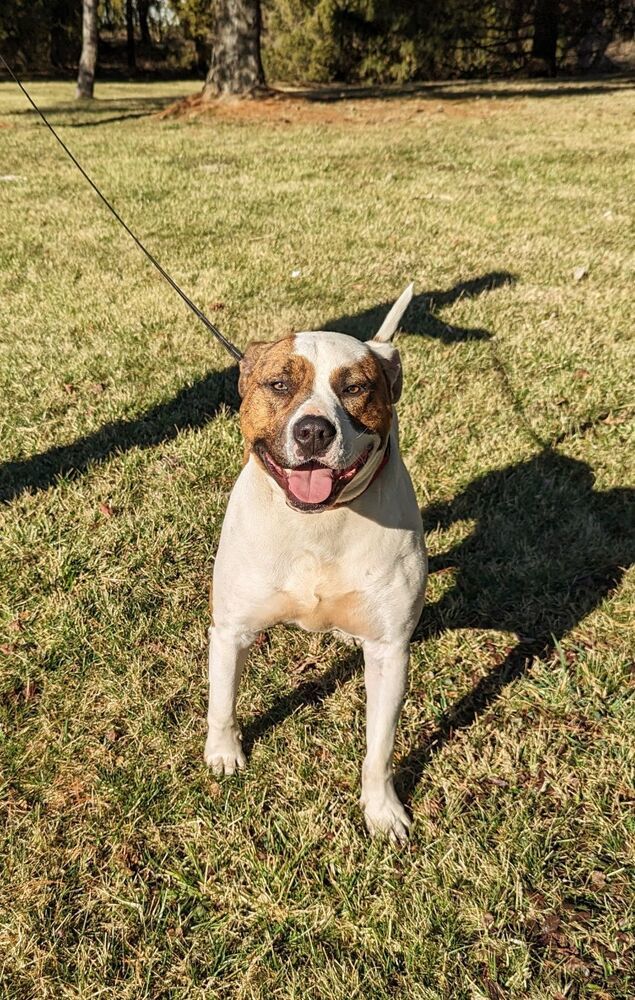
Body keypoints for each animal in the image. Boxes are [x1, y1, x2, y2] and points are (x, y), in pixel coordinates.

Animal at [206, 286, 430, 840]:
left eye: (355, 388)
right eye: (279, 383)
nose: (312, 431)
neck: (318, 525)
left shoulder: (390, 652)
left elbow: (380, 748)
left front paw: (382, 810)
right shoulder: (231, 630)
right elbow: (221, 703)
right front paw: (223, 755)